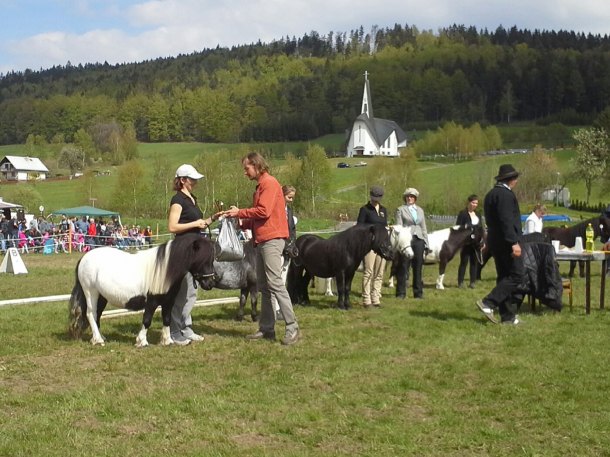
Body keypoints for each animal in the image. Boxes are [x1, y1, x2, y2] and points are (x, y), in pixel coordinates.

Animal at [68, 233, 216, 348]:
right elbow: (147, 320)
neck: (164, 270)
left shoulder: (168, 301)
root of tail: (84, 258)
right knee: (90, 314)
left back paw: (100, 337)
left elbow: (167, 319)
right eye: (203, 259)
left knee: (97, 314)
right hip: (90, 292)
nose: (210, 283)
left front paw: (167, 341)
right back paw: (98, 340)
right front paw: (142, 341)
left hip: (102, 296)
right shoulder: (151, 301)